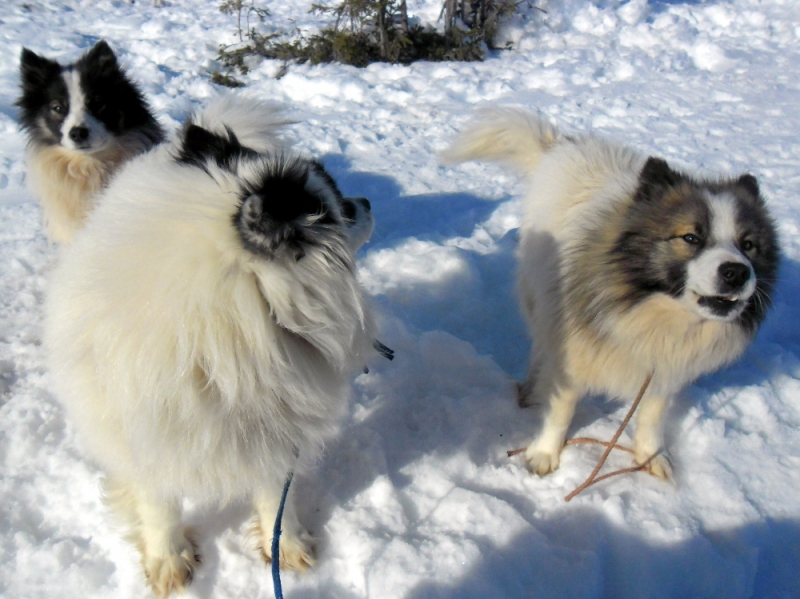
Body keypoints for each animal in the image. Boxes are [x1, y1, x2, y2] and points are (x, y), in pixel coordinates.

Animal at [43, 96, 378, 596]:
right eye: (339, 208)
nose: (368, 202)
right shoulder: (144, 439)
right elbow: (158, 507)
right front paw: (169, 562)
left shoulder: (276, 429)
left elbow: (274, 496)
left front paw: (287, 546)